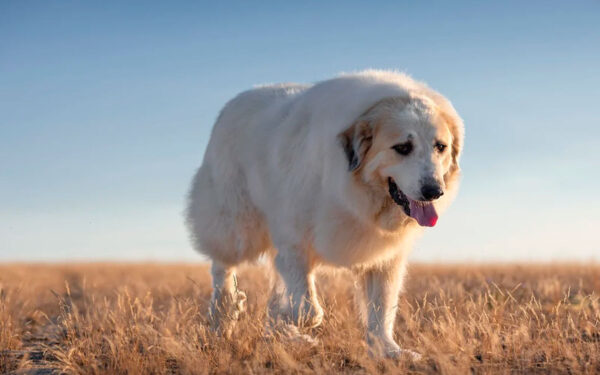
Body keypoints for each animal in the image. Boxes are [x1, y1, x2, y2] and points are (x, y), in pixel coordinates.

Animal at [188, 70, 464, 358]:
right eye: (403, 148)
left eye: (440, 147)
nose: (434, 191)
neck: (355, 192)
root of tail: (236, 101)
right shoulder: (295, 243)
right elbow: (308, 310)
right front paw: (288, 316)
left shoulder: (384, 257)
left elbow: (381, 307)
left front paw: (386, 350)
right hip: (237, 226)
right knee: (222, 265)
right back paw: (224, 313)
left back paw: (282, 334)